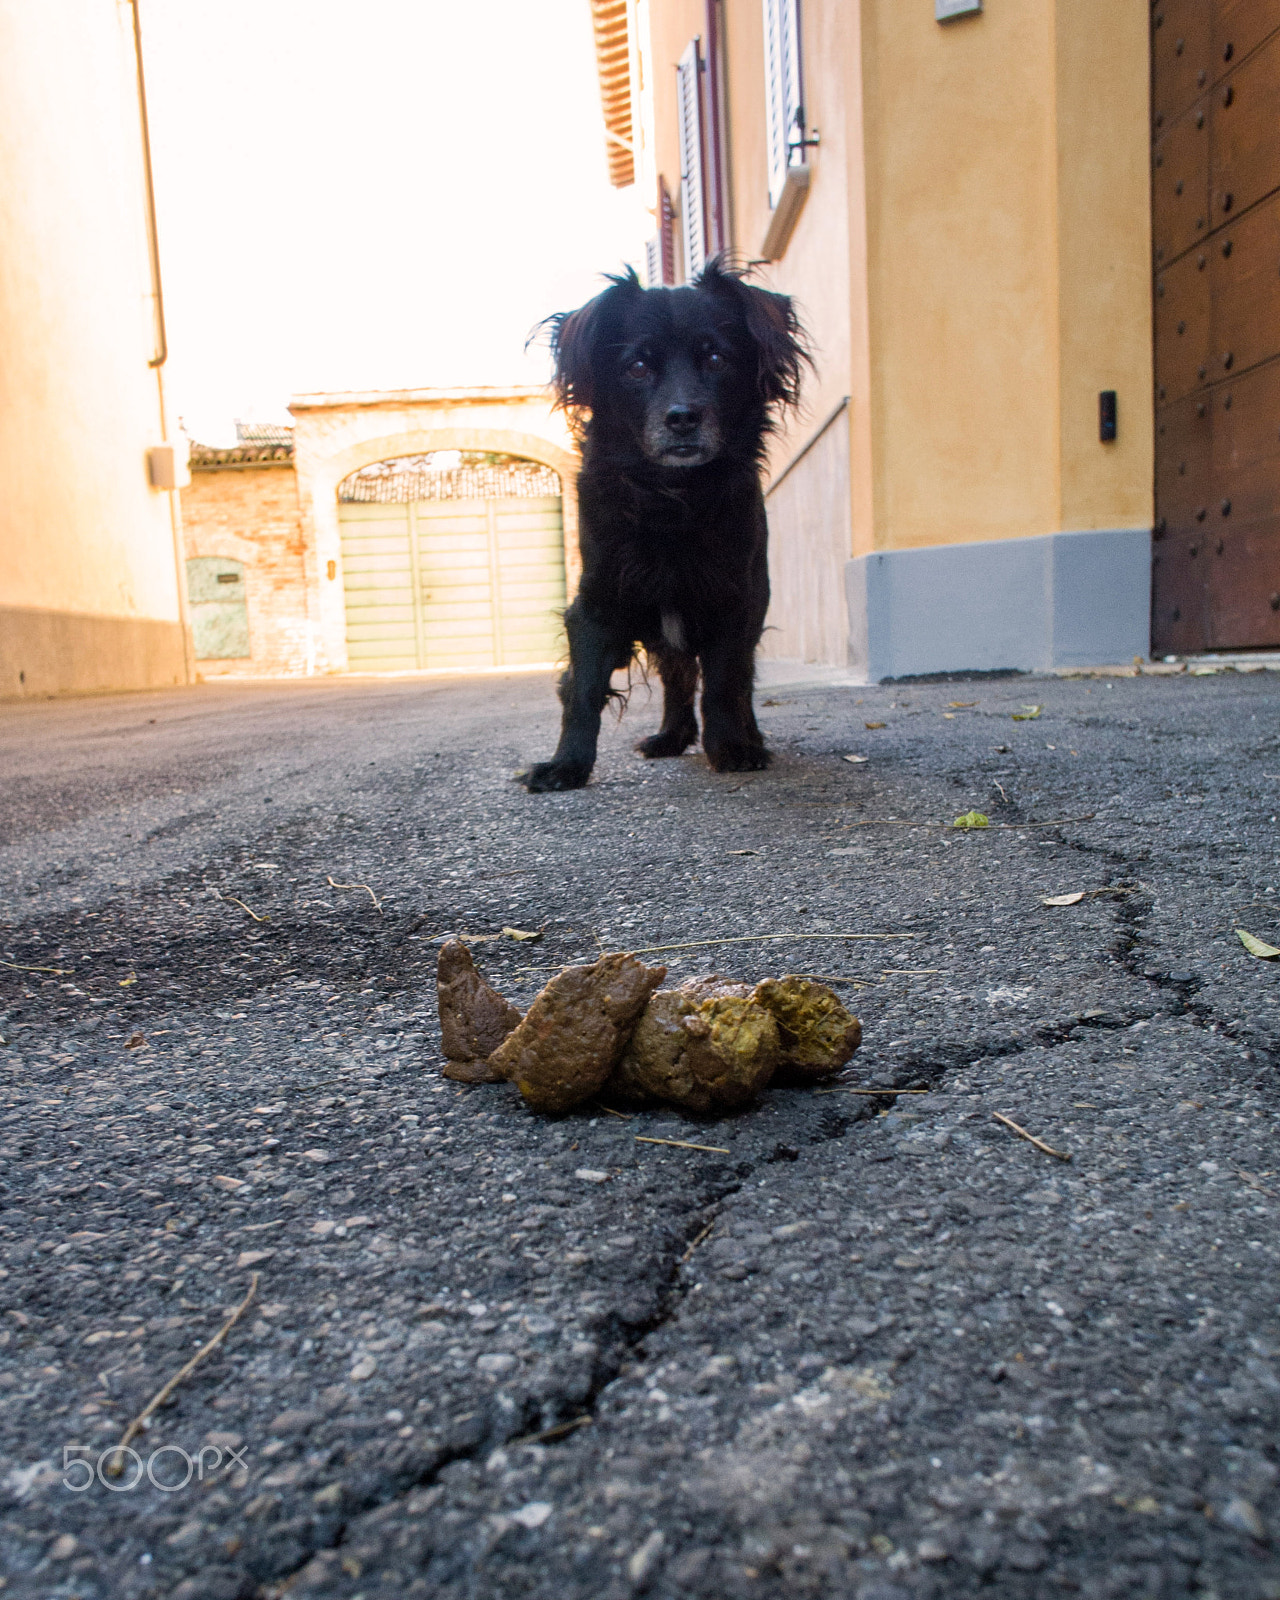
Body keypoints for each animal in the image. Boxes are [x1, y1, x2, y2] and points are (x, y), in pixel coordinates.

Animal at [518, 256, 809, 793]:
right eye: (636, 366)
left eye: (716, 359)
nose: (682, 418)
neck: (671, 496)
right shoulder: (596, 603)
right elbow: (582, 690)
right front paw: (566, 765)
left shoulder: (732, 600)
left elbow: (724, 683)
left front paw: (731, 748)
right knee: (677, 677)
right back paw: (670, 737)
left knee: (733, 680)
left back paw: (747, 737)